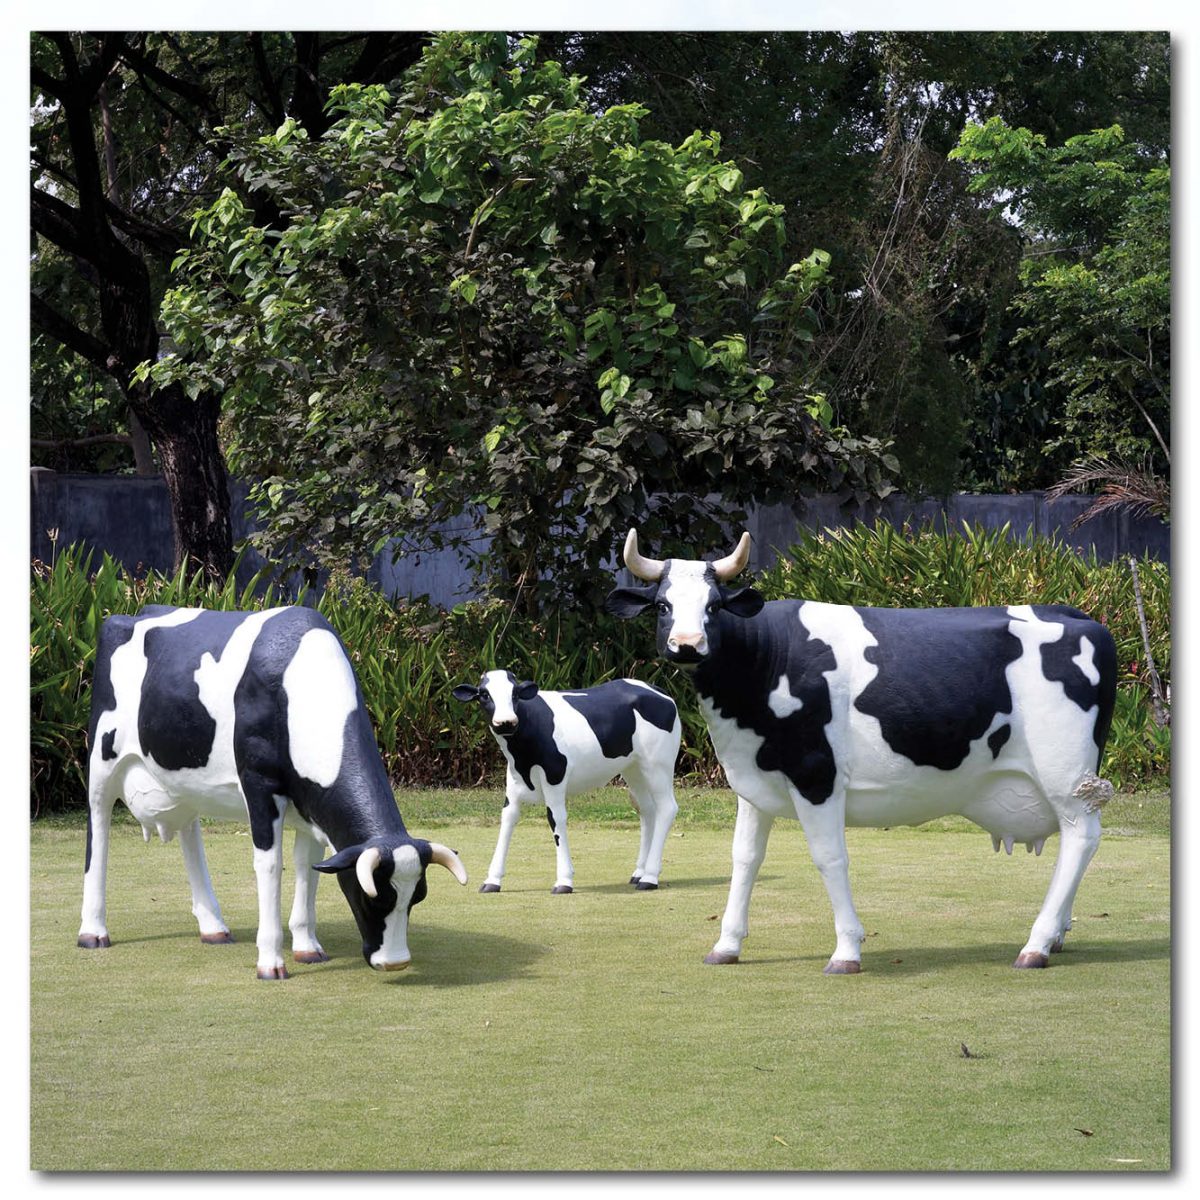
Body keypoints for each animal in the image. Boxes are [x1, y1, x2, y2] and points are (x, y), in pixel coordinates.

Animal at [78, 604, 468, 979]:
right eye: (372, 897)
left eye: (416, 897)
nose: (396, 962)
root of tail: (133, 613)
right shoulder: (260, 787)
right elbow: (270, 866)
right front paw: (270, 961)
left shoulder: (311, 805)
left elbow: (307, 866)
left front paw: (307, 947)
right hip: (101, 760)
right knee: (98, 831)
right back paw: (93, 930)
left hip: (183, 778)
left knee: (190, 834)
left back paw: (213, 926)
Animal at [451, 670, 681, 893]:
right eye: (484, 695)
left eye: (515, 694)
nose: (506, 721)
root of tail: (657, 690)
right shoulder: (514, 784)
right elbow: (507, 820)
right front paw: (492, 880)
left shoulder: (555, 776)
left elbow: (556, 819)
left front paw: (564, 880)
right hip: (634, 768)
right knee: (647, 809)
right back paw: (639, 873)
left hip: (658, 764)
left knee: (666, 807)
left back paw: (650, 877)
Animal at [605, 529, 1118, 973]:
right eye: (663, 605)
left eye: (713, 606)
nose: (687, 645)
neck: (764, 662)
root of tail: (1078, 616)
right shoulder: (754, 780)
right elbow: (744, 858)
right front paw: (727, 944)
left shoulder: (817, 776)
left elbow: (829, 857)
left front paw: (847, 949)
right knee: (1074, 842)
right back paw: (1056, 936)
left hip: (1066, 775)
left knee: (1082, 838)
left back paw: (1036, 943)